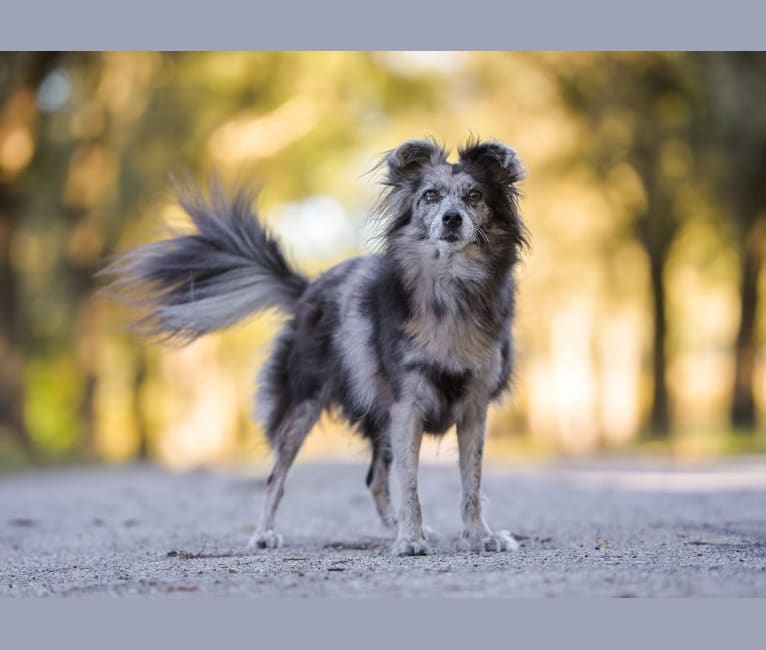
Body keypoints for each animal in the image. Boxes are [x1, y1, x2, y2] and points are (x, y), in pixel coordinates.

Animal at [105, 137, 528, 552]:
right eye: (430, 196)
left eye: (474, 195)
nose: (452, 218)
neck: (451, 290)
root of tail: (308, 290)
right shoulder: (407, 404)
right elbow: (410, 483)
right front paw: (411, 538)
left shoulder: (473, 407)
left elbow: (471, 482)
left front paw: (479, 535)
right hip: (304, 404)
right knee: (277, 476)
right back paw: (264, 534)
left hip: (378, 415)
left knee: (375, 479)